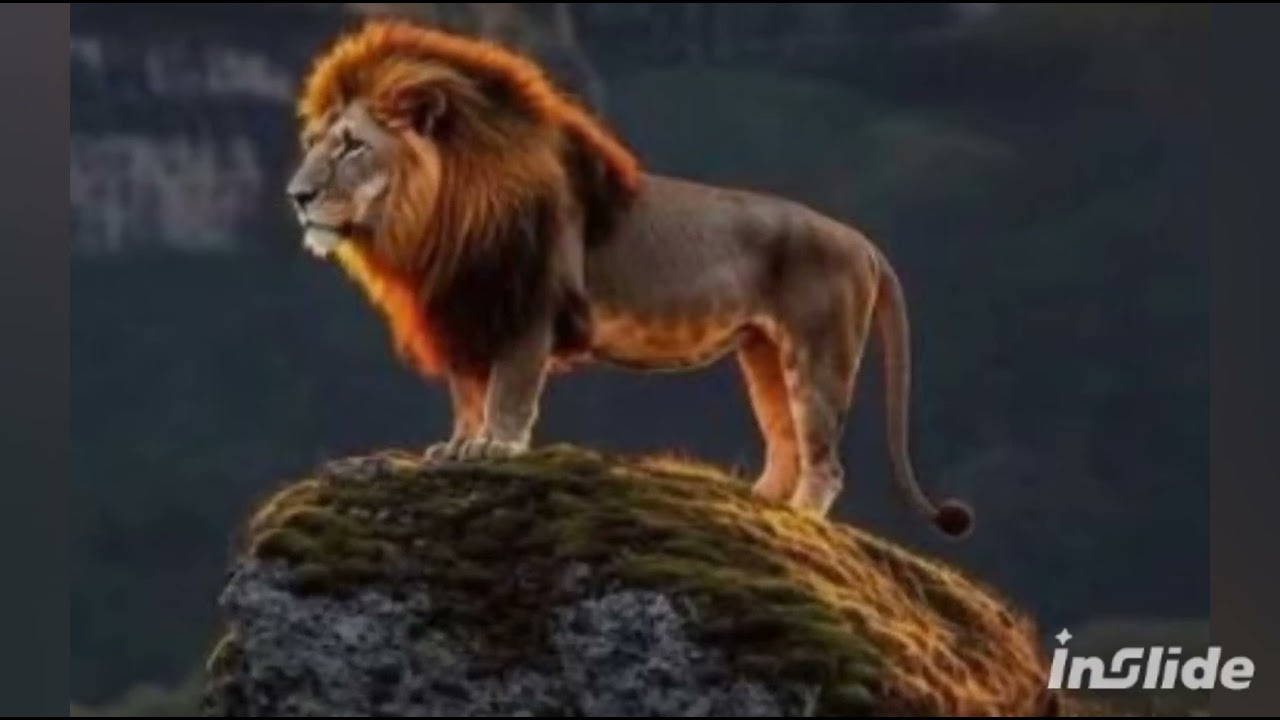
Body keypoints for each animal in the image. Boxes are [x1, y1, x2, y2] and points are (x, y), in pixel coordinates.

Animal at [285, 20, 973, 538]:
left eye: (352, 146)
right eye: (314, 142)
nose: (297, 195)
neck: (435, 220)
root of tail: (864, 243)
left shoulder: (527, 311)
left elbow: (508, 392)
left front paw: (495, 448)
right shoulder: (467, 310)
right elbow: (467, 393)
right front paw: (457, 445)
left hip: (817, 351)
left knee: (824, 461)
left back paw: (796, 522)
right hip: (762, 353)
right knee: (784, 444)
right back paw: (756, 505)